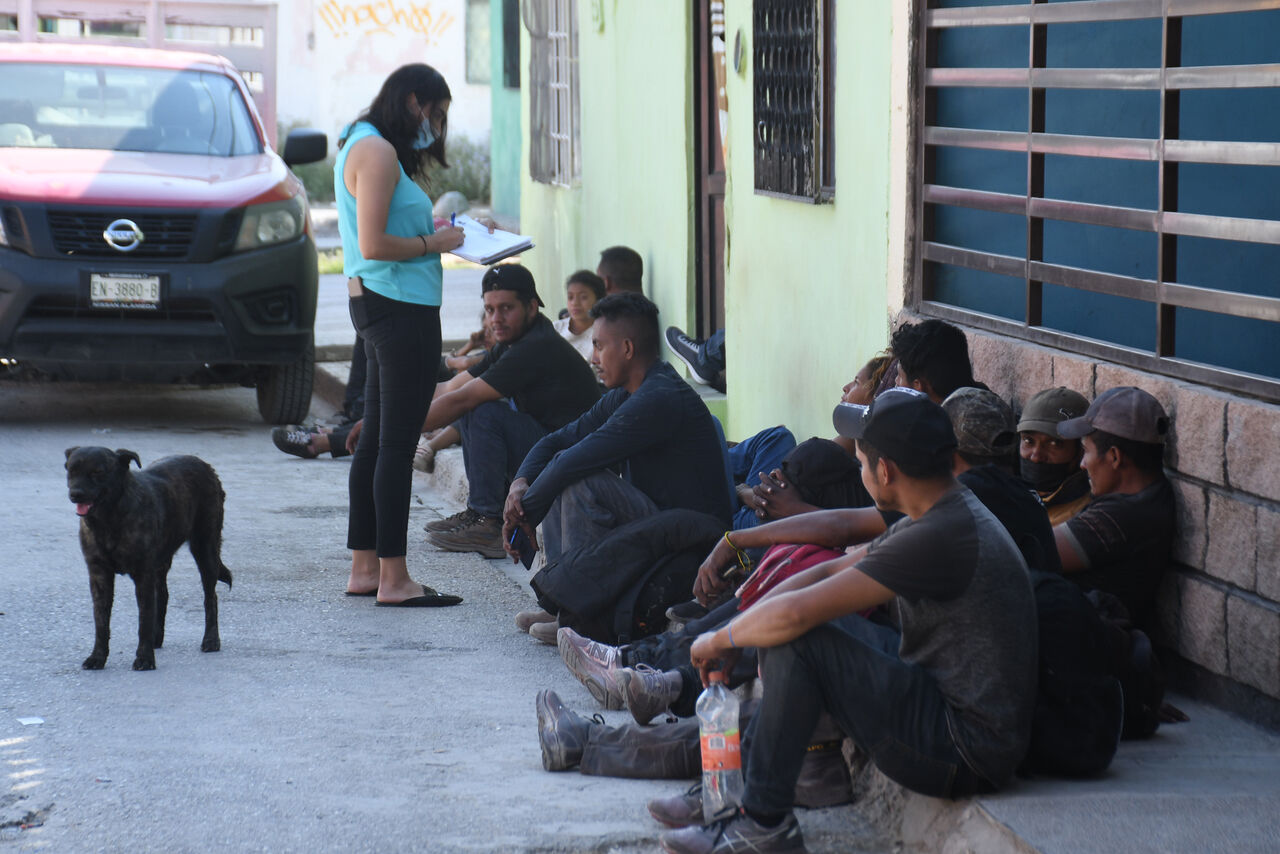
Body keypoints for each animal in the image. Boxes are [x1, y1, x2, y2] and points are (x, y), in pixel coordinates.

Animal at [64, 445, 232, 670]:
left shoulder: (143, 575)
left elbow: (143, 619)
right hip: (161, 563)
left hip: (205, 551)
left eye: (98, 472)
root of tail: (205, 465)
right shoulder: (99, 575)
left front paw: (144, 658)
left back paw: (211, 640)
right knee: (163, 595)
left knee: (210, 598)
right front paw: (97, 657)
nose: (75, 494)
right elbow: (101, 622)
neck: (109, 520)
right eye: (71, 470)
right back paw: (157, 638)